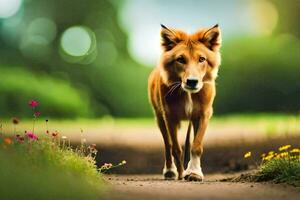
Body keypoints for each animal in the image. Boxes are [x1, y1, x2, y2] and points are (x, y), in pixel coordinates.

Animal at [149, 24, 221, 180]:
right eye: (180, 59)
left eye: (202, 59)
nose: (192, 81)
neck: (188, 94)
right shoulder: (169, 116)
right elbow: (175, 148)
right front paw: (181, 174)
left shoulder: (204, 114)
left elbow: (196, 146)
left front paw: (194, 172)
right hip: (159, 118)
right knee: (167, 145)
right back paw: (170, 170)